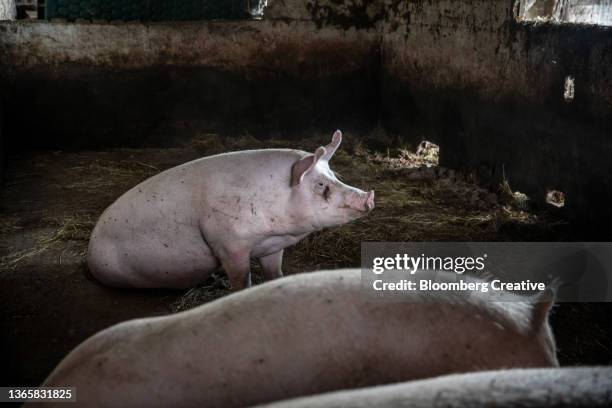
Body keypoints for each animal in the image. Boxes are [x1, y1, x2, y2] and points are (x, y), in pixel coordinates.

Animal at [85, 131, 372, 290]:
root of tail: (91, 247)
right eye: (320, 184)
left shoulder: (272, 246)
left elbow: (274, 273)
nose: (368, 198)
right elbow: (241, 279)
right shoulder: (228, 242)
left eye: (334, 175)